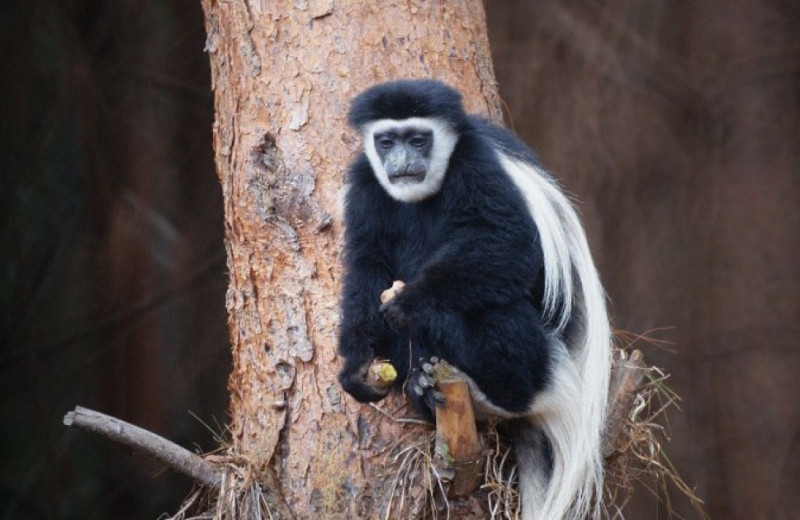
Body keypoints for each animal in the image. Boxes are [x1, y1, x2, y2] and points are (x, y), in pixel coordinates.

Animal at [340, 80, 612, 520]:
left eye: (418, 139)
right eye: (386, 141)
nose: (401, 162)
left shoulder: (477, 167)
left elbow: (507, 243)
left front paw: (411, 300)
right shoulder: (366, 185)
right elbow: (367, 266)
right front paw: (357, 367)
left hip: (538, 358)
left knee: (497, 308)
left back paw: (492, 395)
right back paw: (421, 387)